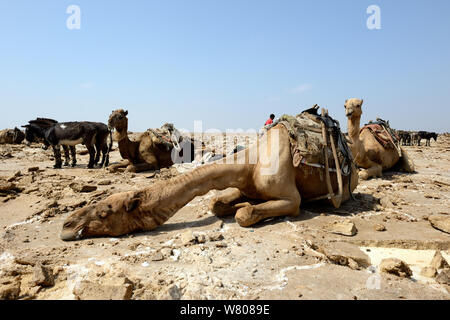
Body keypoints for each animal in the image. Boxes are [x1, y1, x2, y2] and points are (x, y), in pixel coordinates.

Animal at [60, 114, 358, 240]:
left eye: (104, 212)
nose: (67, 224)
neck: (252, 162)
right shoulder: (245, 183)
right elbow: (217, 203)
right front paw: (237, 204)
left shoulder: (291, 199)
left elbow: (245, 215)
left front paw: (243, 208)